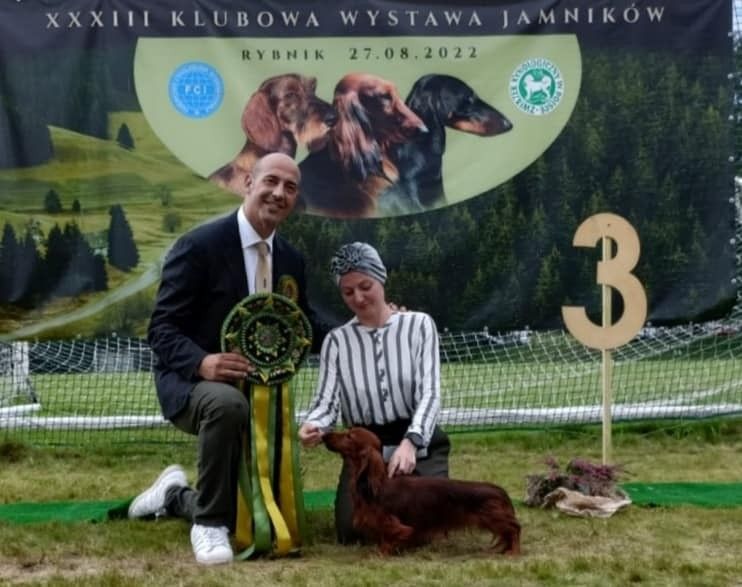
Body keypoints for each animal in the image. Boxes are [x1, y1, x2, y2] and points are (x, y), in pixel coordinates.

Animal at [323, 427, 521, 556]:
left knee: (514, 528)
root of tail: (499, 490)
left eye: (349, 436)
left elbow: (389, 540)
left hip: (493, 517)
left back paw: (513, 551)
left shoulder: (394, 525)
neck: (376, 485)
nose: (325, 434)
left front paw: (379, 554)